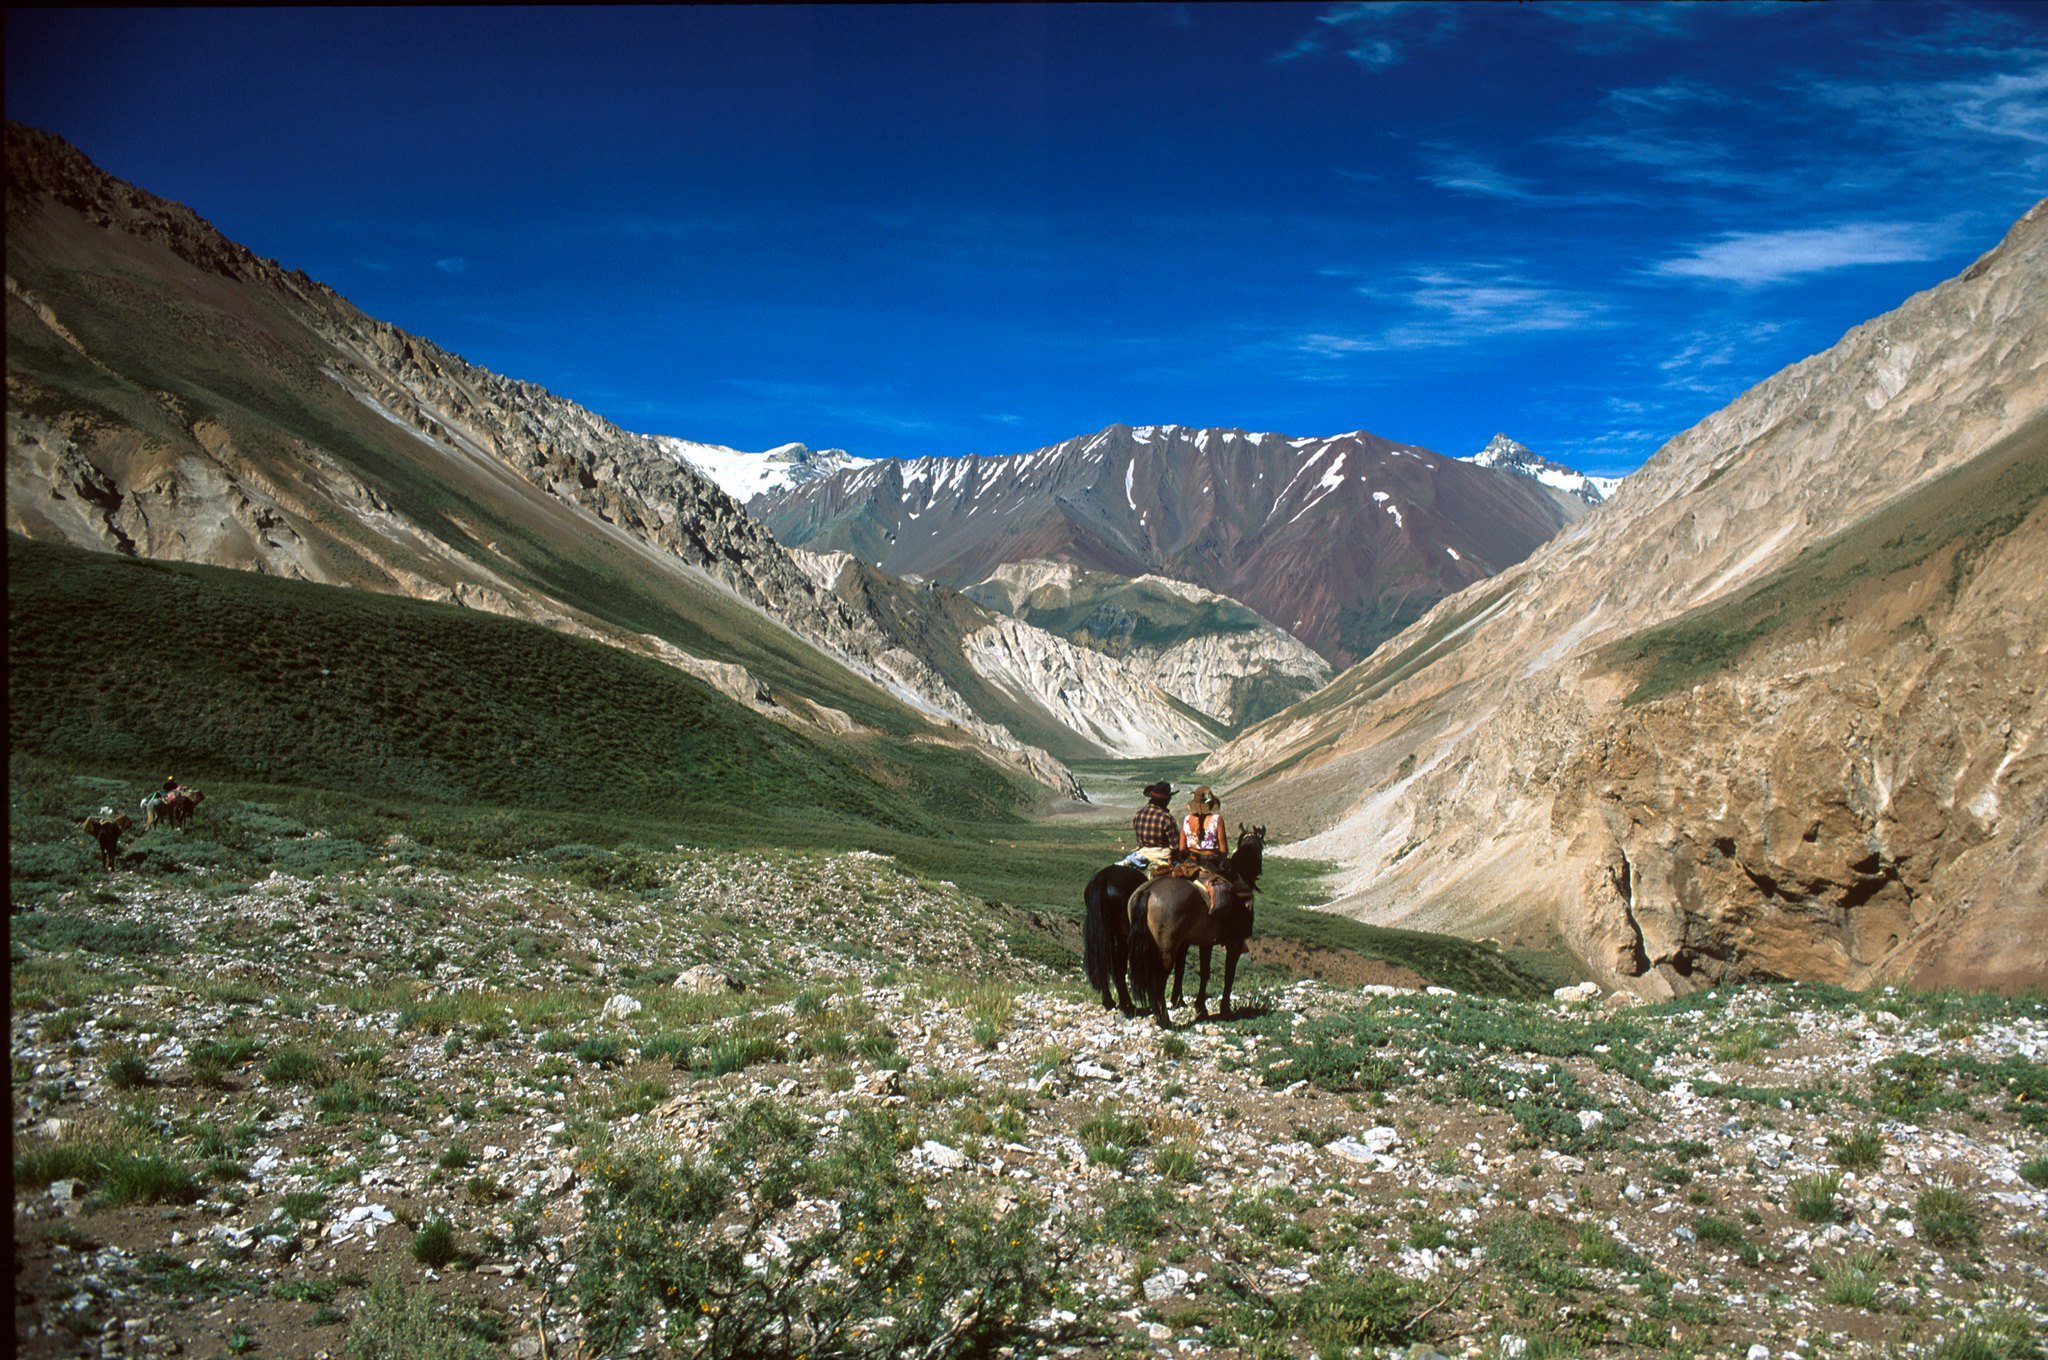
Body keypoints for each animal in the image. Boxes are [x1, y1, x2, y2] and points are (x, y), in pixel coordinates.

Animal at [1122, 827, 1261, 1032]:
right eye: (1260, 846)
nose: (1259, 870)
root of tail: (1147, 892)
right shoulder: (1234, 943)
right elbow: (1229, 975)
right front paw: (1225, 1010)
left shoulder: (1205, 942)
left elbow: (1204, 972)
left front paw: (1200, 1007)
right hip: (1166, 951)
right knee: (1159, 979)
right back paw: (1165, 1021)